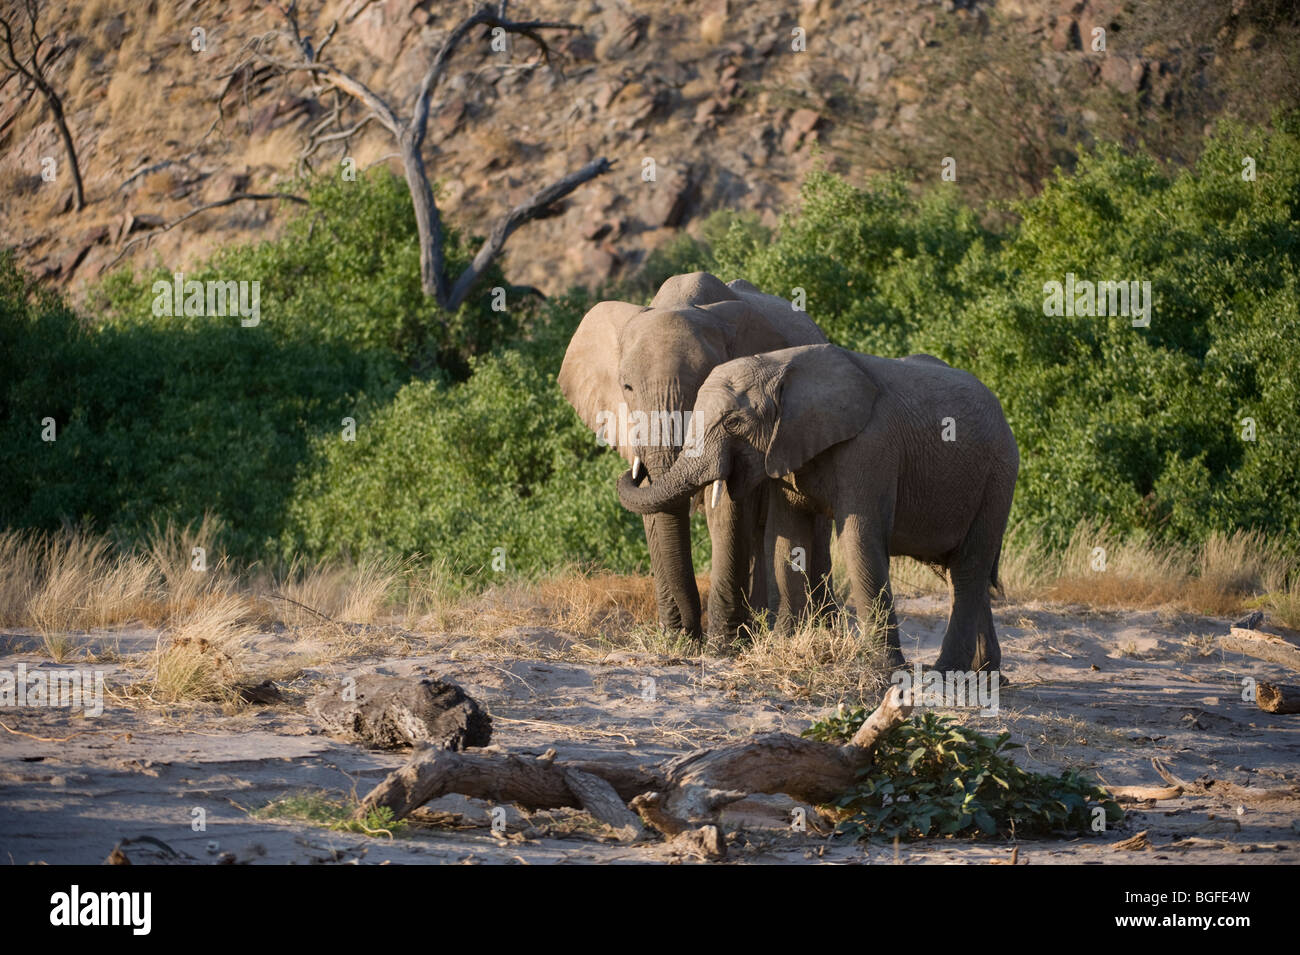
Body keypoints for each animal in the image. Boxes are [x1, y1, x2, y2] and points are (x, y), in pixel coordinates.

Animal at [559, 274, 832, 649]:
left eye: (705, 388)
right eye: (626, 387)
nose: (691, 634)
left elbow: (728, 509)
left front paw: (722, 646)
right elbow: (653, 506)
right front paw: (678, 638)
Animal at [613, 343, 1019, 670]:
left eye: (734, 422)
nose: (633, 468)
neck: (780, 366)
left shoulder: (870, 447)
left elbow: (859, 539)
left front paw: (883, 669)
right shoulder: (786, 449)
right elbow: (785, 540)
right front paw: (784, 646)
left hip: (998, 477)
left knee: (968, 568)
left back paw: (946, 673)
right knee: (961, 571)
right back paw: (986, 672)